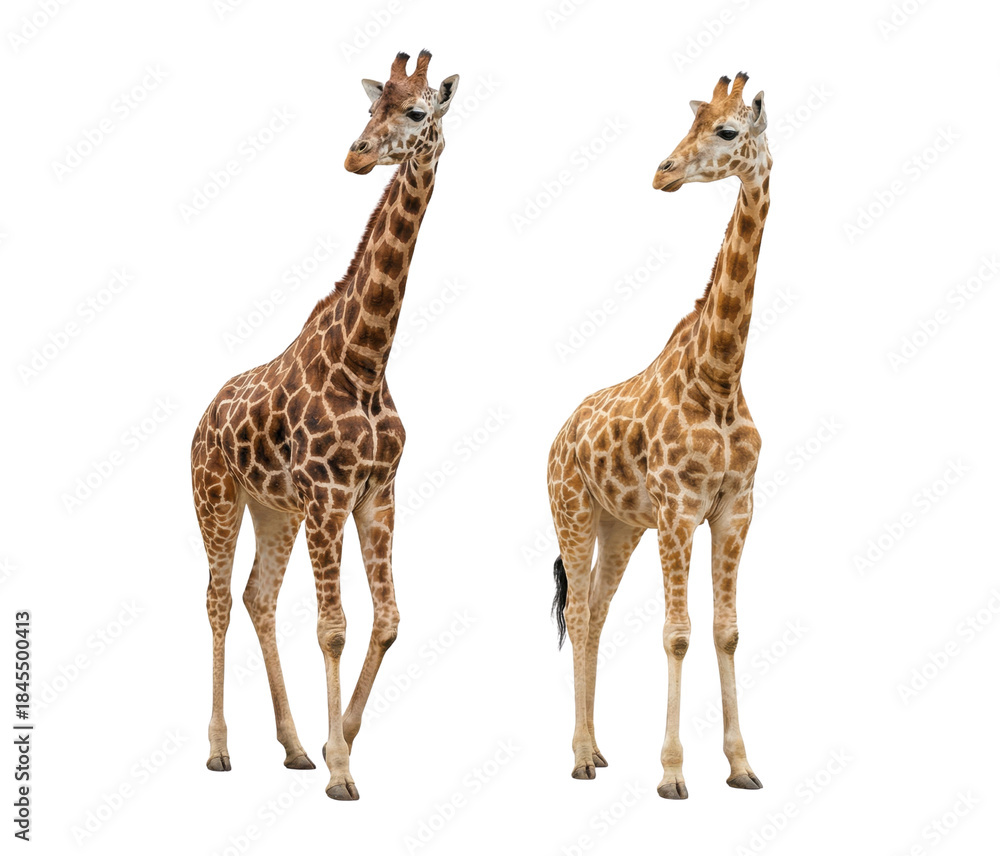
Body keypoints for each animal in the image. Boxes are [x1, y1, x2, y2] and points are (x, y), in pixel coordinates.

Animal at [190, 50, 458, 800]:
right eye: (370, 108)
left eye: (417, 111)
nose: (355, 154)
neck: (366, 360)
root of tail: (201, 418)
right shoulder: (328, 496)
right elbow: (333, 627)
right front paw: (340, 767)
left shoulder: (375, 494)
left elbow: (389, 620)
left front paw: (339, 739)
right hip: (218, 499)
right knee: (217, 600)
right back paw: (219, 750)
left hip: (273, 510)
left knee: (257, 597)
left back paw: (290, 747)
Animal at [547, 72, 771, 799]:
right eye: (691, 124)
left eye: (727, 130)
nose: (663, 172)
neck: (720, 377)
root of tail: (560, 432)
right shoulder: (678, 511)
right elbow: (677, 634)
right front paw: (673, 775)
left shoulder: (734, 509)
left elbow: (726, 631)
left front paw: (741, 765)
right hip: (572, 511)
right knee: (579, 613)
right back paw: (578, 757)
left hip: (620, 527)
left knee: (596, 612)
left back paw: (598, 749)